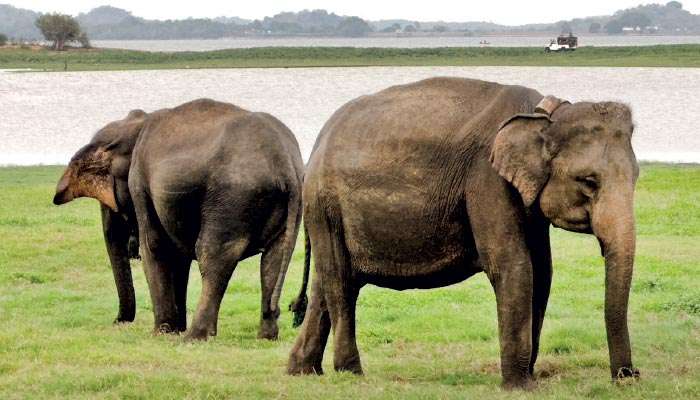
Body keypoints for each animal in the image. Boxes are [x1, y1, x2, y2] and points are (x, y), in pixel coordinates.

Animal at [54, 98, 304, 341]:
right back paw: (266, 337)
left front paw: (162, 332)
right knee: (274, 258)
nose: (117, 321)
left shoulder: (140, 182)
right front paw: (174, 328)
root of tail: (285, 165)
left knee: (213, 254)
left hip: (233, 197)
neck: (136, 125)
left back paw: (195, 336)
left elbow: (155, 245)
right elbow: (178, 254)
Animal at [287, 77, 640, 388]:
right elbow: (514, 266)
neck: (545, 114)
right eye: (588, 181)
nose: (628, 377)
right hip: (325, 204)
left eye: (637, 176)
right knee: (340, 280)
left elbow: (543, 272)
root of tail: (317, 142)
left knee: (326, 281)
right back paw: (350, 373)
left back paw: (302, 371)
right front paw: (520, 386)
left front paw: (529, 377)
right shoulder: (486, 179)